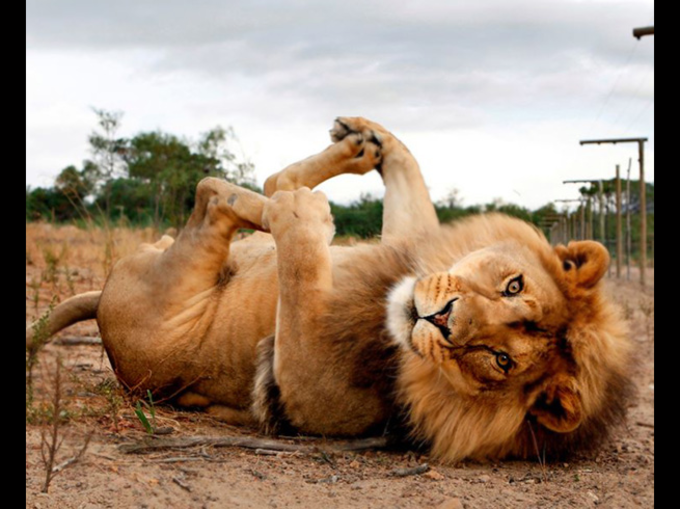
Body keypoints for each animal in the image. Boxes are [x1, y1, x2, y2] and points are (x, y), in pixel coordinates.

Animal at [25, 117, 632, 462]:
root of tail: (101, 304)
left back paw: (281, 201)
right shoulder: (406, 246)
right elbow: (409, 190)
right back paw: (352, 151)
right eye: (513, 285)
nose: (440, 318)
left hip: (174, 285)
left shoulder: (303, 384)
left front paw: (301, 214)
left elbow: (299, 265)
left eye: (501, 361)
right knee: (255, 187)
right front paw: (374, 141)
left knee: (216, 194)